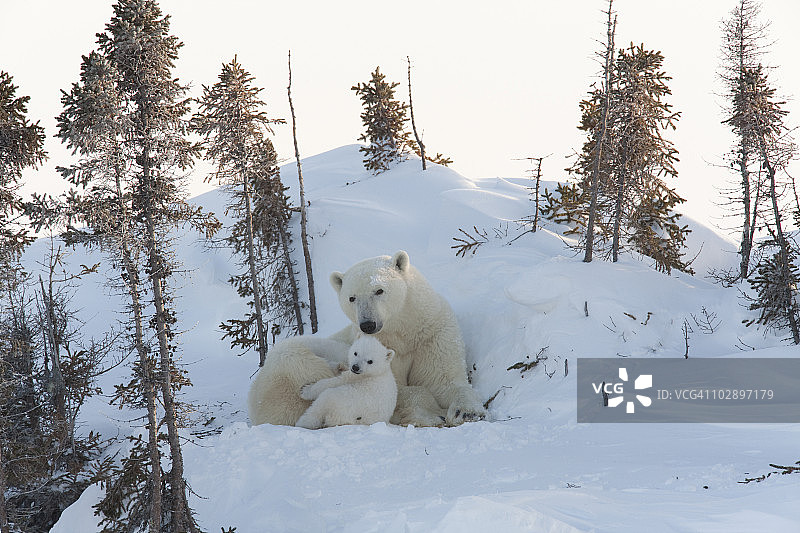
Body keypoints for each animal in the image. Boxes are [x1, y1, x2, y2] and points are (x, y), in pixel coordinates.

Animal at [246, 250, 486, 427]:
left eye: (379, 290)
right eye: (351, 298)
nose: (368, 324)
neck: (404, 334)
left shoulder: (433, 334)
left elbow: (443, 379)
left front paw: (467, 412)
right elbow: (399, 388)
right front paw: (433, 414)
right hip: (290, 365)